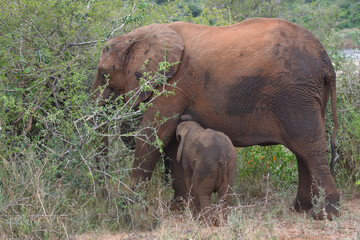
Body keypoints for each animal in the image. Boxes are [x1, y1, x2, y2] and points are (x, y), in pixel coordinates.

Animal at [91, 17, 338, 220]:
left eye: (103, 74)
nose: (104, 197)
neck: (138, 35)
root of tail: (326, 61)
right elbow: (171, 143)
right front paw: (178, 208)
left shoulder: (173, 83)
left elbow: (152, 135)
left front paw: (129, 208)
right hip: (308, 95)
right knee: (302, 150)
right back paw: (301, 209)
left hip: (297, 94)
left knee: (309, 148)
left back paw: (326, 214)